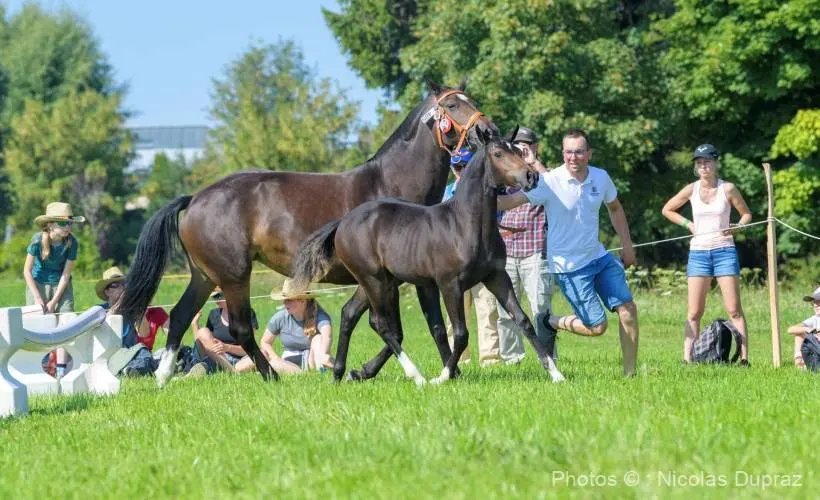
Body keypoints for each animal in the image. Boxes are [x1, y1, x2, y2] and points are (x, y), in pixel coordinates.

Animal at [119, 82, 499, 386]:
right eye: (453, 105)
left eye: (472, 100)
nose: (487, 130)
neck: (389, 185)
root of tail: (195, 198)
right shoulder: (396, 279)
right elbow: (412, 326)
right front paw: (441, 373)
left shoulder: (390, 280)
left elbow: (362, 318)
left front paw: (358, 371)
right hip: (233, 276)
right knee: (240, 327)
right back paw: (270, 375)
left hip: (204, 275)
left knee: (180, 316)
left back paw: (163, 376)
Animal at [291, 128, 565, 385]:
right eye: (498, 154)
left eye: (518, 151)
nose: (531, 177)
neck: (465, 225)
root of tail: (344, 221)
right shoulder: (449, 285)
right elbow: (460, 333)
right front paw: (443, 376)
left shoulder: (497, 277)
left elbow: (524, 320)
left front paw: (556, 373)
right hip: (374, 281)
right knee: (381, 323)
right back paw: (416, 376)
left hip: (378, 282)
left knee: (350, 313)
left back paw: (342, 373)